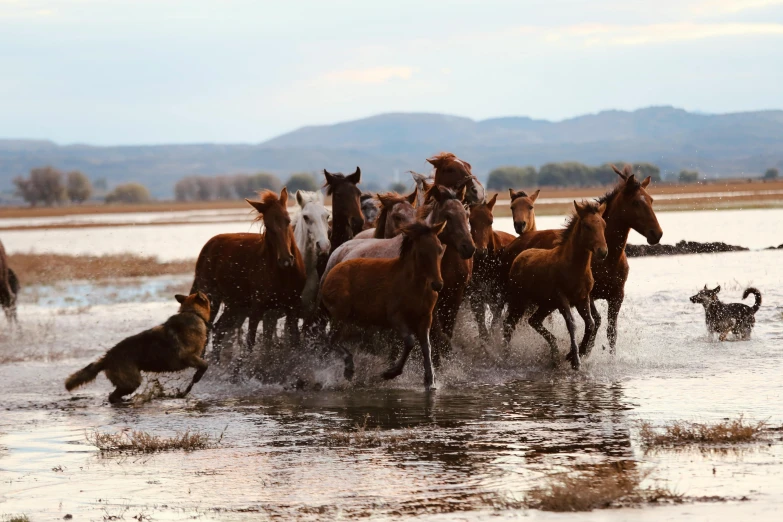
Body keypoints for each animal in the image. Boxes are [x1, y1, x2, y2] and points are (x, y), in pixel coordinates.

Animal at [65, 292, 211, 402]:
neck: (193, 313)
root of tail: (107, 358)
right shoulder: (188, 357)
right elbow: (205, 365)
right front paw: (196, 378)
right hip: (132, 382)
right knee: (112, 397)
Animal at [190, 187, 306, 362]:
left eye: (288, 220)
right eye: (268, 225)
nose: (286, 260)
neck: (282, 275)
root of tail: (208, 246)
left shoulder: (292, 306)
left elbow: (295, 340)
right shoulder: (257, 308)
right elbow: (250, 342)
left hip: (234, 304)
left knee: (219, 330)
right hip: (211, 297)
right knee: (209, 330)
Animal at [320, 218, 448, 386]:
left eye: (440, 249)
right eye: (421, 252)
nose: (437, 285)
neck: (413, 286)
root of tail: (329, 273)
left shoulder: (425, 318)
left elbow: (427, 347)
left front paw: (430, 380)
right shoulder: (395, 317)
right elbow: (410, 341)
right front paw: (391, 373)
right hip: (340, 315)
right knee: (331, 340)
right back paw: (348, 367)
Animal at [422, 185, 478, 360]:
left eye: (466, 214)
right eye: (447, 216)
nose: (469, 248)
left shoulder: (455, 295)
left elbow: (447, 330)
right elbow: (437, 335)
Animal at [506, 200, 608, 370]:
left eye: (604, 225)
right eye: (586, 225)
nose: (603, 251)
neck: (573, 267)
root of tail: (518, 257)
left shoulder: (582, 299)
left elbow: (591, 324)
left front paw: (574, 354)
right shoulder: (562, 298)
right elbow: (572, 324)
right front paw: (576, 361)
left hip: (546, 305)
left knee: (533, 321)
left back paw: (554, 353)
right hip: (519, 301)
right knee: (509, 325)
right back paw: (504, 355)